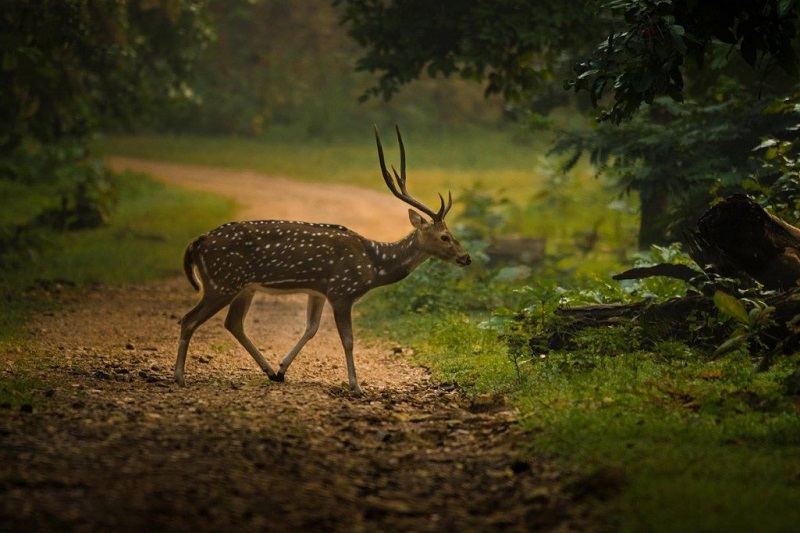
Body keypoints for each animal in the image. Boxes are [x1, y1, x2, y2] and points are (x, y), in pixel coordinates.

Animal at [175, 126, 471, 395]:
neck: (374, 264)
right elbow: (348, 340)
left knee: (233, 323)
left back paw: (269, 371)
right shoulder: (342, 290)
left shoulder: (317, 290)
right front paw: (356, 386)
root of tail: (197, 241)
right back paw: (179, 377)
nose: (466, 257)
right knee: (188, 319)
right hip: (222, 281)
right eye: (445, 236)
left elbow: (311, 329)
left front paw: (282, 369)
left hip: (243, 287)